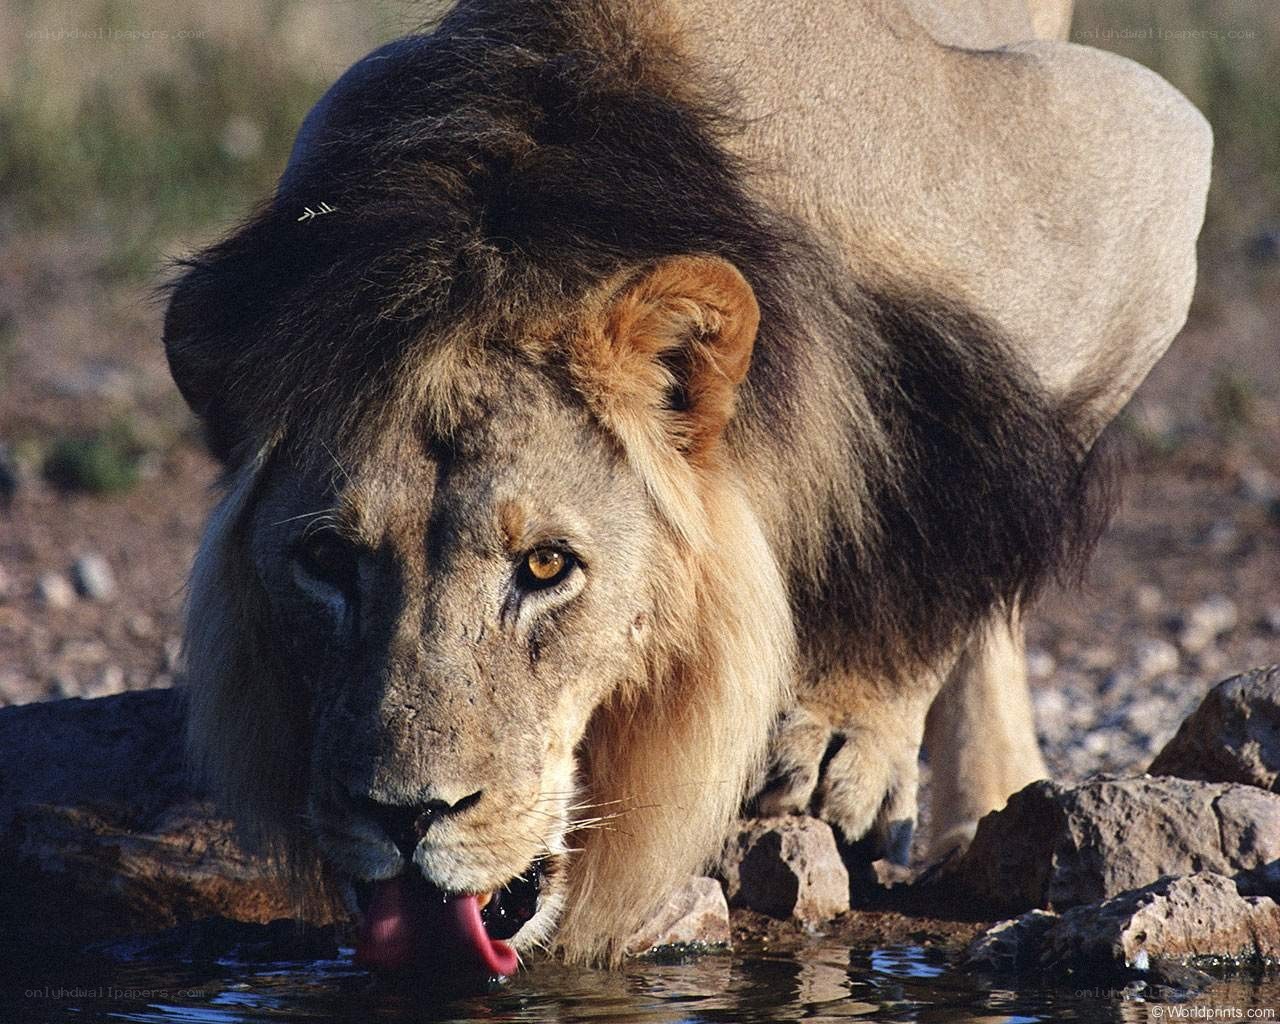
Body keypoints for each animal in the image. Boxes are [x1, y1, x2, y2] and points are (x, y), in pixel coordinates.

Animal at [162, 0, 1210, 975]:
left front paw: (842, 734)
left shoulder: (1141, 152)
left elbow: (960, 528)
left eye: (546, 566)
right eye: (326, 561)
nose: (405, 816)